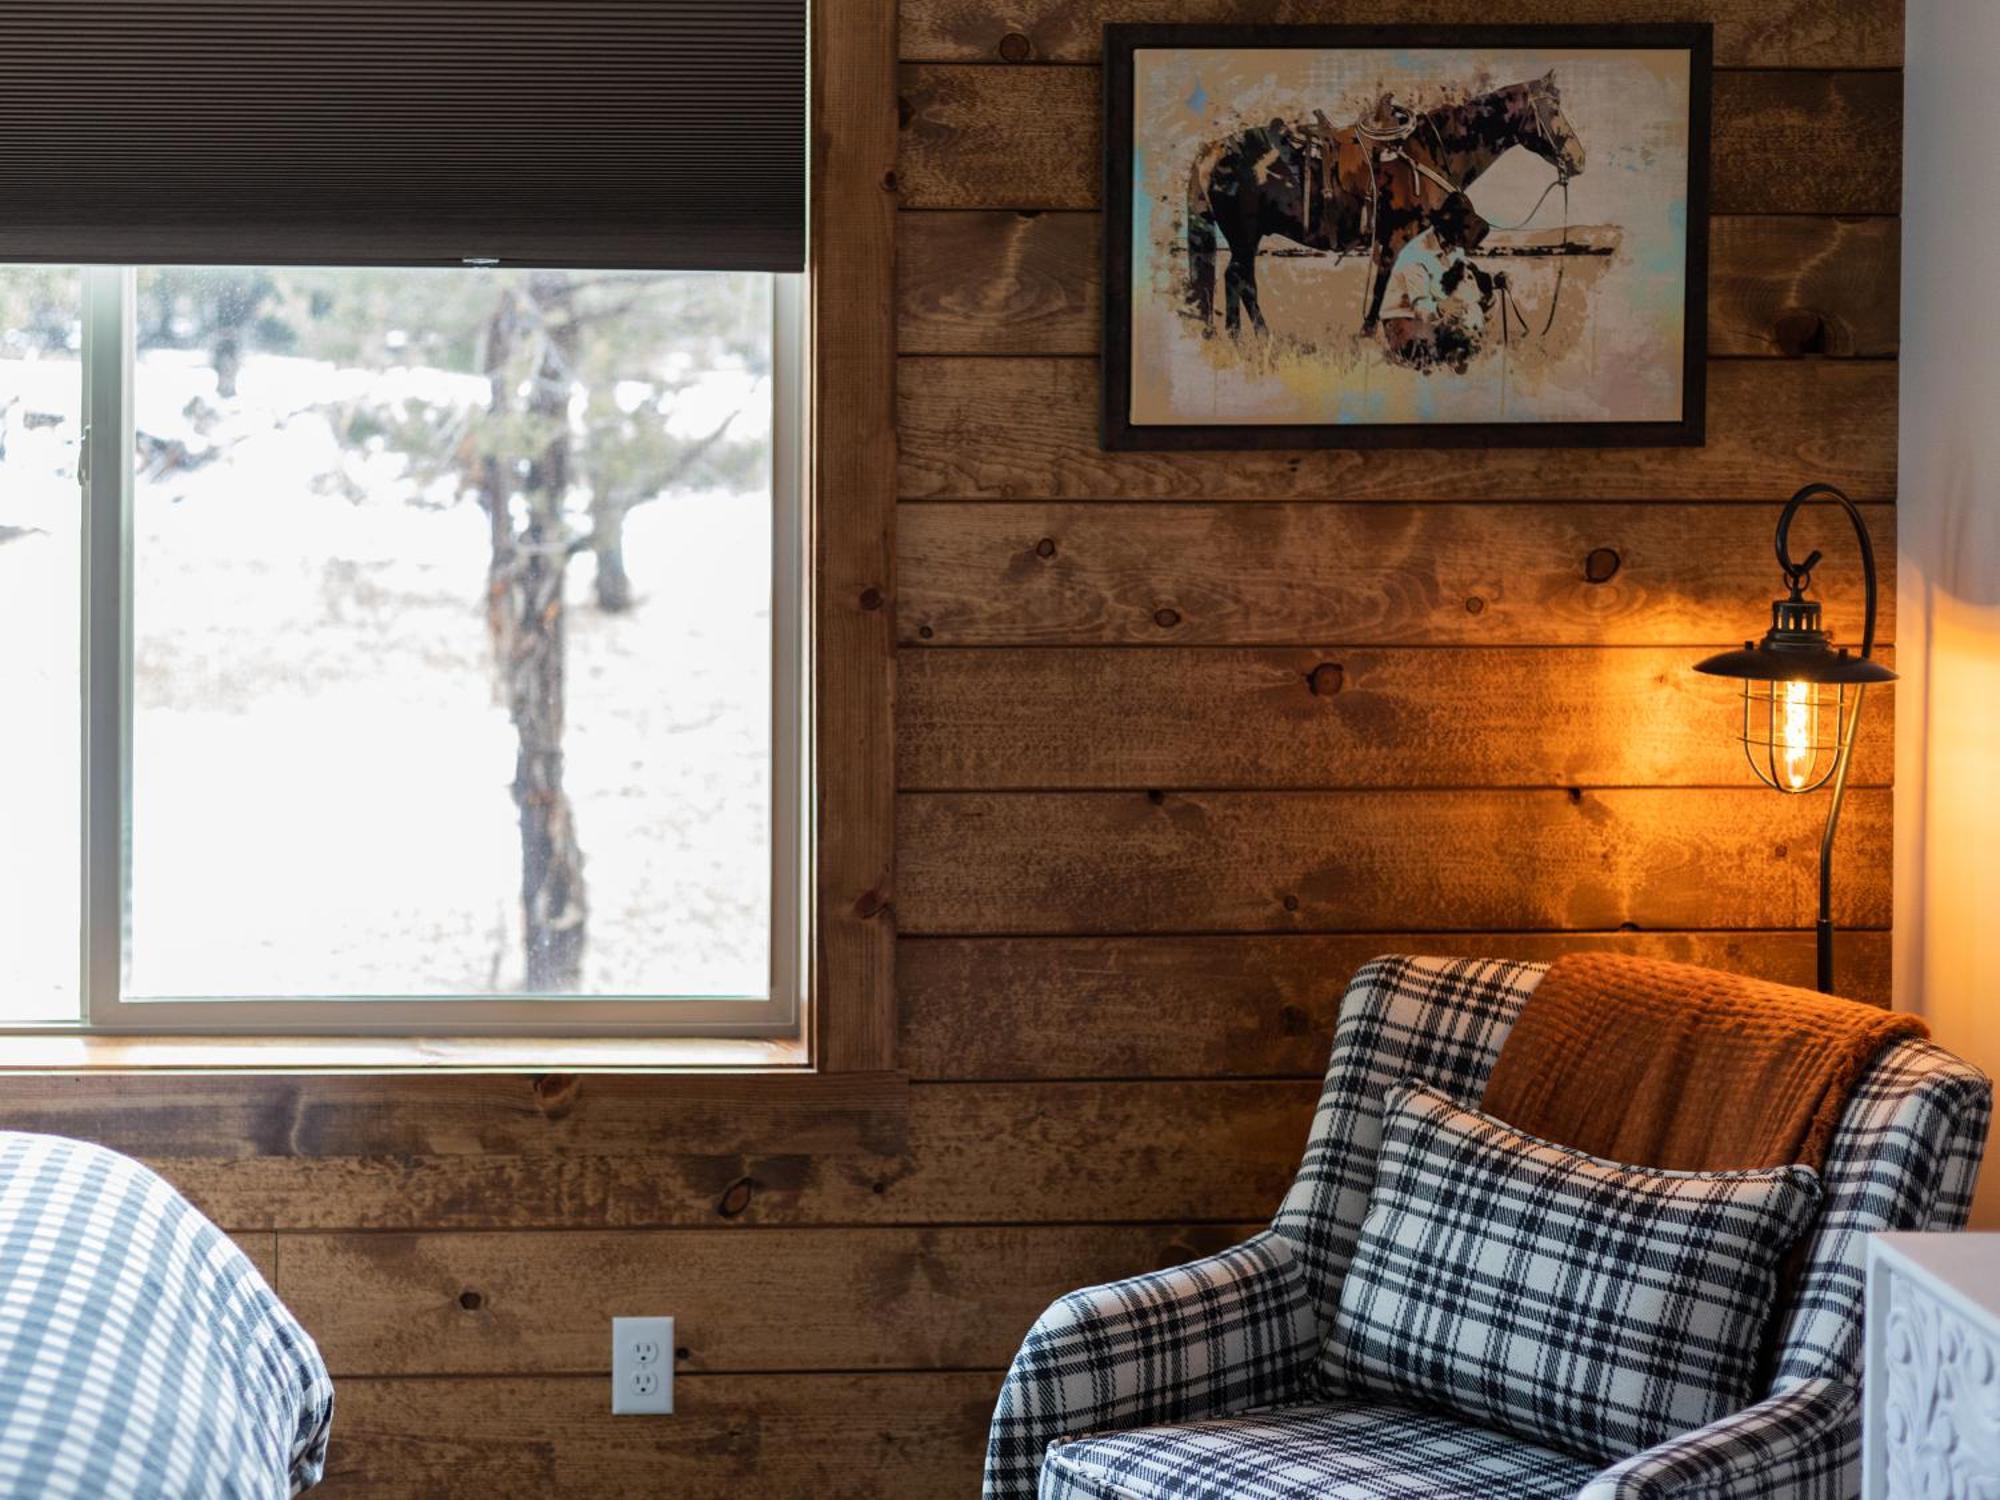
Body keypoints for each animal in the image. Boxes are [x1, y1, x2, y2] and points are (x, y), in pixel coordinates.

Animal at [1184, 72, 1576, 334]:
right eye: (1553, 108)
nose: (1578, 158)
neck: (1429, 151)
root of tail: (1211, 150)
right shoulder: (1395, 236)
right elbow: (1382, 285)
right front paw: (1369, 334)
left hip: (1245, 238)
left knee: (1234, 278)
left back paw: (1239, 336)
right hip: (1245, 236)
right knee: (1241, 279)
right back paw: (1258, 335)